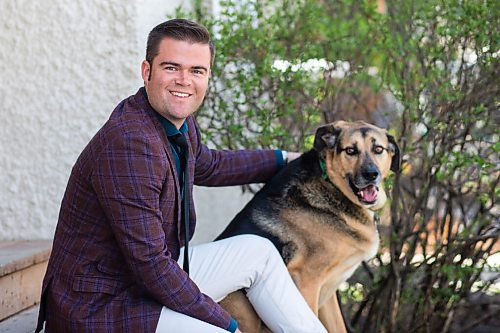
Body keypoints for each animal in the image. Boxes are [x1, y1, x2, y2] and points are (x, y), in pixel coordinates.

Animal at [217, 120, 400, 330]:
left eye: (378, 149)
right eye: (350, 150)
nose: (371, 174)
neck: (332, 185)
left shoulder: (329, 292)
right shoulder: (306, 282)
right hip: (244, 309)